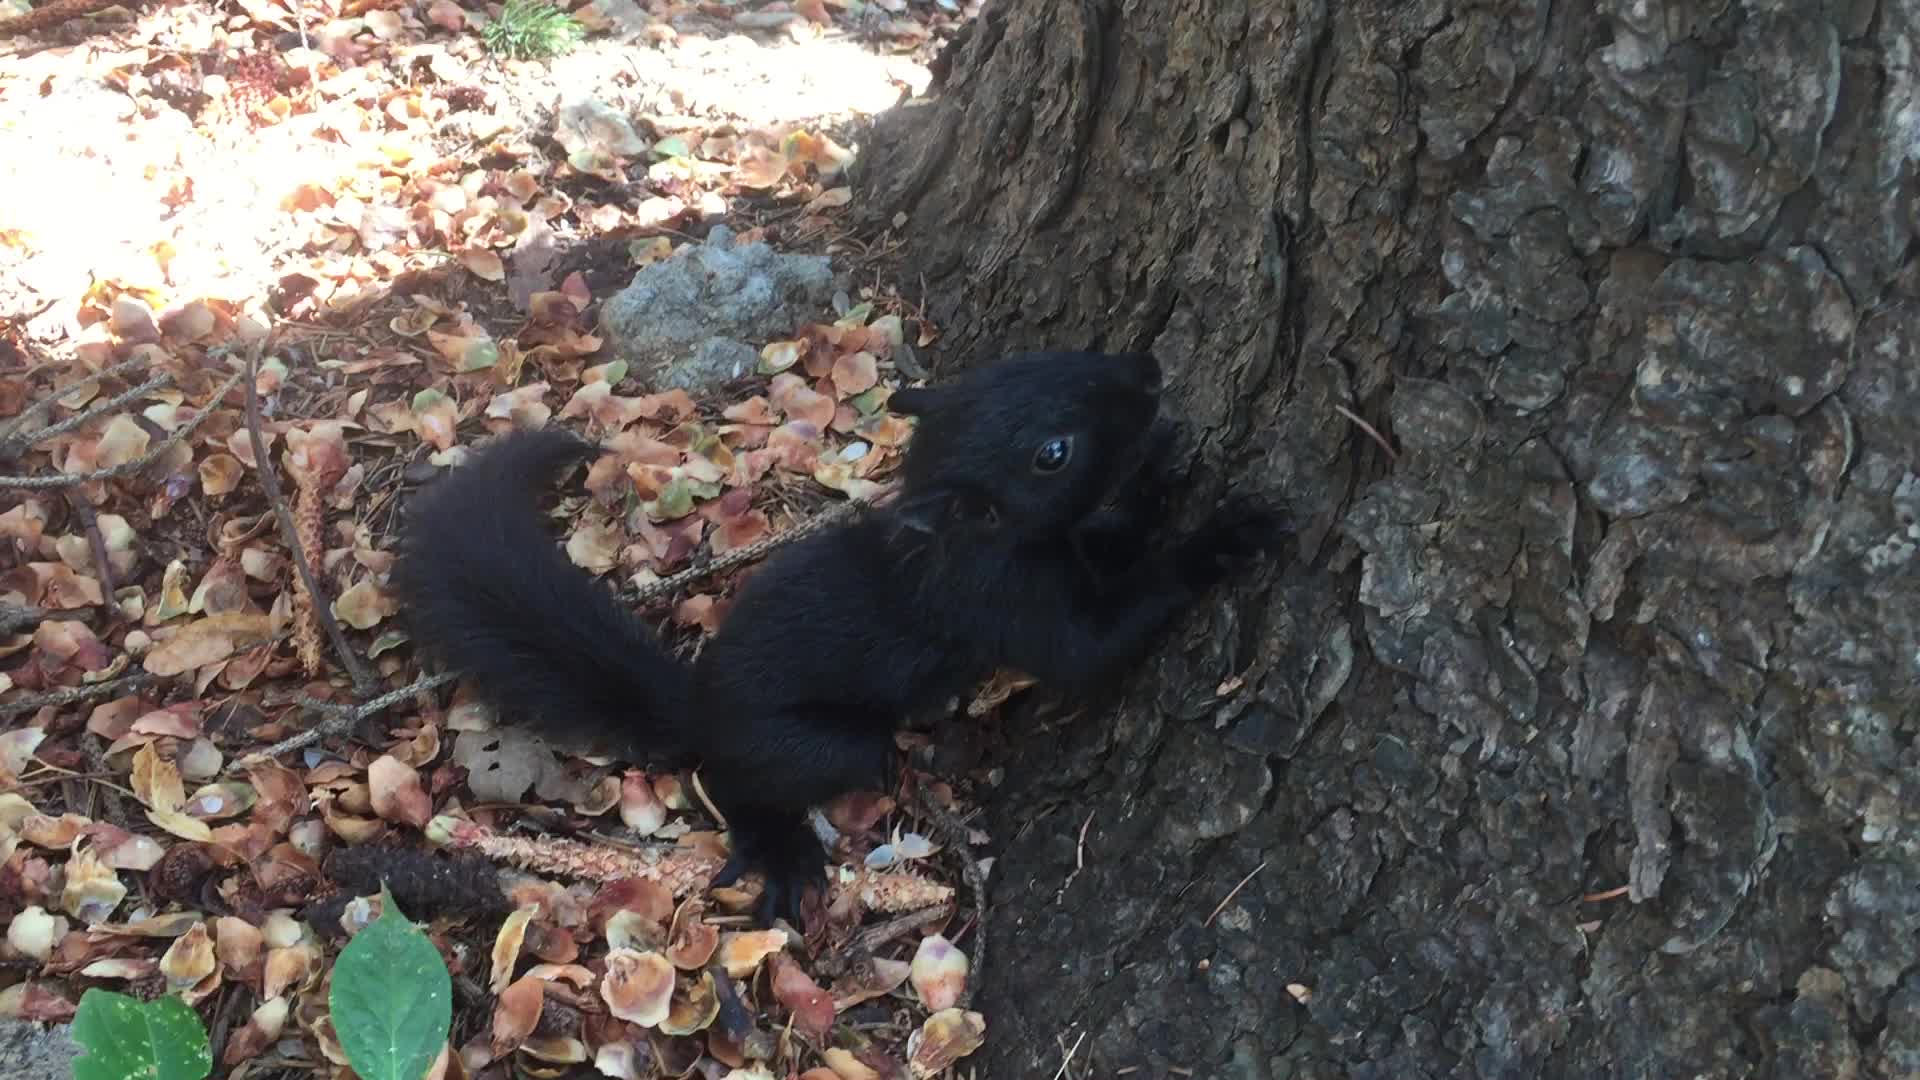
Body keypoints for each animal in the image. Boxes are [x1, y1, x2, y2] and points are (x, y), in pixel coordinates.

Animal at [392, 350, 1284, 925]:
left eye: (1053, 356)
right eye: (1052, 453)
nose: (1149, 374)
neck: (963, 539)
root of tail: (698, 703)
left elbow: (1113, 544)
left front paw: (1159, 468)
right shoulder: (1008, 605)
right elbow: (1095, 643)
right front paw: (1221, 537)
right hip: (825, 746)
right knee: (739, 782)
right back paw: (784, 851)